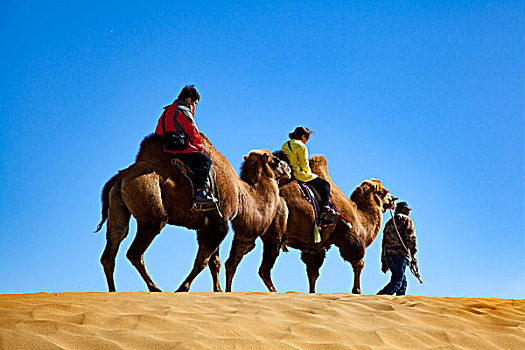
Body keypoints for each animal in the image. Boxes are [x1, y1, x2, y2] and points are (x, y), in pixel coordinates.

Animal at [95, 134, 288, 292]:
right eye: (275, 160)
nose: (288, 168)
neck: (242, 195)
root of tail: (121, 177)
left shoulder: (208, 224)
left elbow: (214, 262)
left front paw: (217, 291)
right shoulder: (220, 222)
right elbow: (203, 260)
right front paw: (182, 288)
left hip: (118, 209)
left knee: (113, 245)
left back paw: (113, 291)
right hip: (151, 211)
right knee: (135, 252)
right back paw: (155, 288)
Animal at [224, 154, 392, 294]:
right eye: (383, 192)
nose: (393, 200)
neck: (358, 218)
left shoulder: (314, 246)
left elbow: (313, 273)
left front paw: (312, 293)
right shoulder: (346, 234)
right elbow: (358, 262)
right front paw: (356, 291)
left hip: (248, 230)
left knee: (233, 261)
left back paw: (227, 291)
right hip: (274, 234)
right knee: (263, 269)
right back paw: (274, 292)